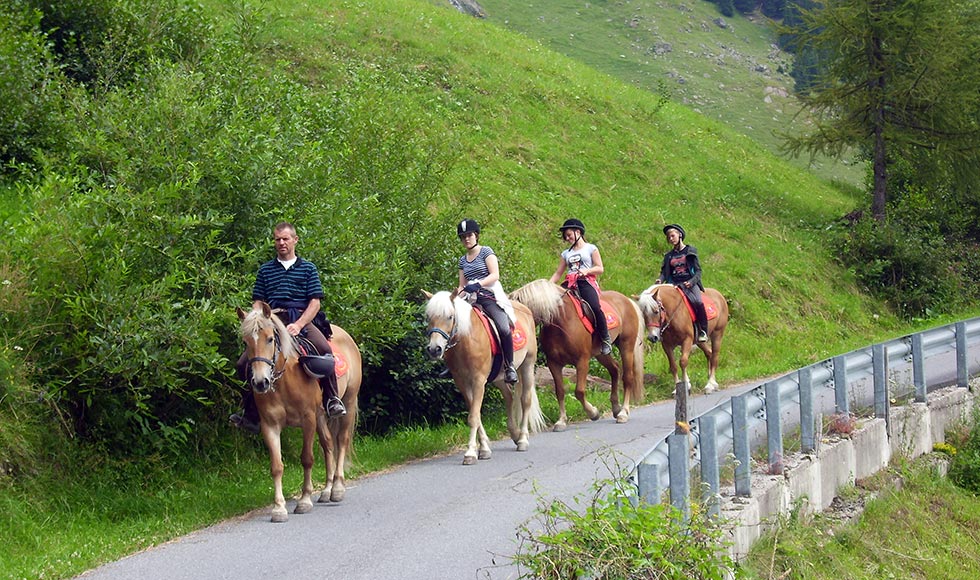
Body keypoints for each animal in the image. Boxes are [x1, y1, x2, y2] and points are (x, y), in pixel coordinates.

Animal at [235, 302, 362, 524]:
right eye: (246, 341)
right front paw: (279, 508)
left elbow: (307, 458)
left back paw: (337, 488)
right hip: (321, 416)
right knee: (328, 445)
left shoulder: (308, 419)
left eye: (270, 338)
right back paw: (326, 490)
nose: (260, 382)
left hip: (348, 402)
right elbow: (276, 466)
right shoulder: (270, 425)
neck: (284, 380)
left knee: (342, 441)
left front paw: (304, 501)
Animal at [424, 290, 552, 466]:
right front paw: (484, 448)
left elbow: (473, 417)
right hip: (499, 377)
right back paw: (515, 434)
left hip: (527, 364)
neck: (467, 339)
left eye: (450, 316)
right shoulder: (462, 383)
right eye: (428, 317)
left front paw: (470, 453)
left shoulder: (478, 381)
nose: (434, 349)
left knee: (525, 400)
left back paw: (523, 439)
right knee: (509, 397)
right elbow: (476, 414)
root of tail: (525, 310)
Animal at [510, 278, 648, 428]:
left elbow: (579, 391)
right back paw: (616, 408)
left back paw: (623, 413)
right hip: (601, 353)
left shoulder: (582, 361)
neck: (561, 322)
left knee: (627, 378)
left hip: (626, 346)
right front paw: (561, 421)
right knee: (615, 370)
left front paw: (593, 413)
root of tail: (627, 300)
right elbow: (560, 391)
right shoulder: (553, 363)